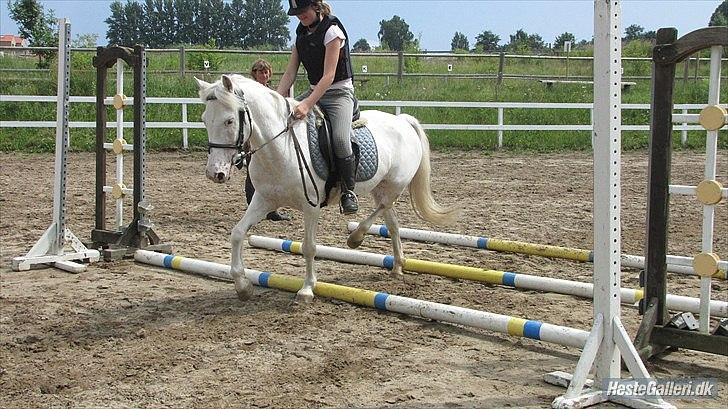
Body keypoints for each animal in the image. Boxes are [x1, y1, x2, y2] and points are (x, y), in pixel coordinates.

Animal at [195, 74, 459, 303]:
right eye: (205, 120)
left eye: (229, 120)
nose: (214, 173)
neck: (282, 146)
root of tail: (402, 120)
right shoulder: (264, 200)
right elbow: (237, 233)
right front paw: (243, 286)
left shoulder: (311, 206)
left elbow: (309, 247)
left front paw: (307, 289)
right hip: (380, 188)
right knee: (392, 223)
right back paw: (396, 266)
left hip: (394, 186)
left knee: (383, 209)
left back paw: (356, 237)